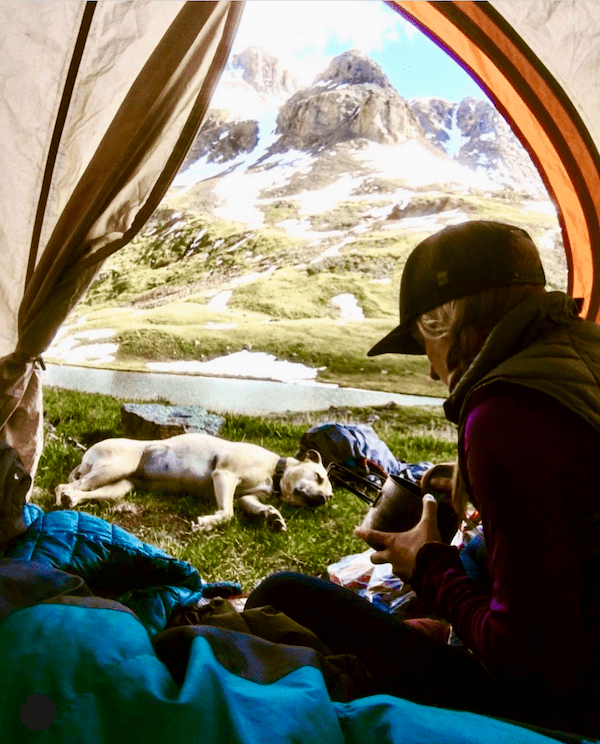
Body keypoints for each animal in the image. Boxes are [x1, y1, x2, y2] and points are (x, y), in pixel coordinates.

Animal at [55, 434, 332, 532]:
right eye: (318, 476)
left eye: (329, 497)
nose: (320, 500)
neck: (275, 471)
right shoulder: (224, 475)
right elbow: (227, 513)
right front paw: (206, 523)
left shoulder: (247, 497)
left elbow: (258, 506)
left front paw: (273, 516)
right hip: (116, 466)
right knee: (64, 486)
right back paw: (63, 497)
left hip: (118, 486)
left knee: (84, 492)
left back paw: (72, 500)